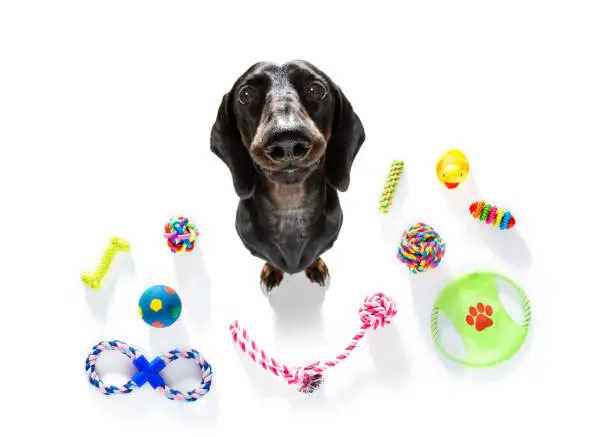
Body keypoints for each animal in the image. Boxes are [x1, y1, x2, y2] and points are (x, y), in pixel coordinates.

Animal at [210, 59, 364, 292]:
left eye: (317, 89)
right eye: (245, 94)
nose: (287, 142)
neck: (290, 206)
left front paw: (316, 267)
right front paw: (272, 270)